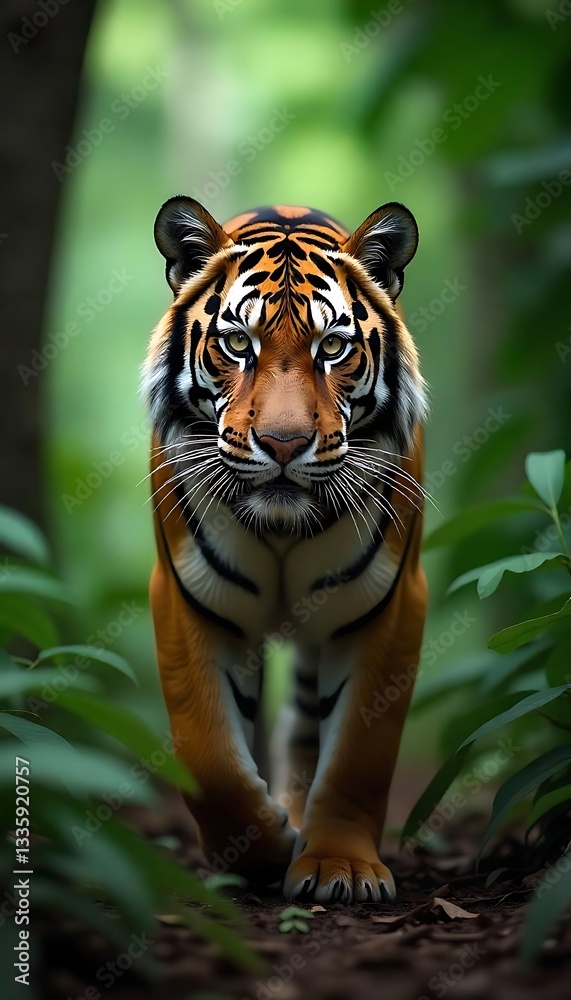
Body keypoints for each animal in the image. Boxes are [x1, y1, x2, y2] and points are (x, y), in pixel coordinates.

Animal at [143, 197, 428, 904]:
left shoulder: (387, 607)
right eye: (238, 343)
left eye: (333, 347)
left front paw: (338, 866)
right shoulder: (189, 600)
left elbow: (358, 754)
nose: (282, 443)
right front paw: (258, 850)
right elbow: (208, 752)